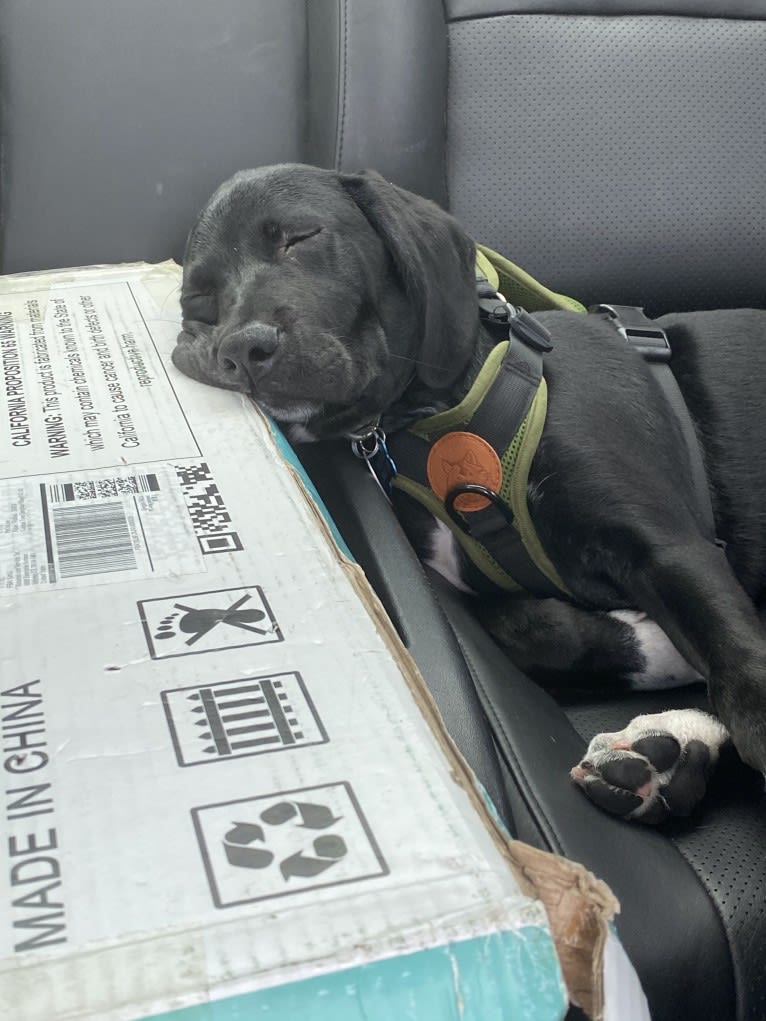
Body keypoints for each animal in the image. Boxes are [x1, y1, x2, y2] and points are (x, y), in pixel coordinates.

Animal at [173, 163, 766, 824]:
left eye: (300, 238)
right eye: (198, 302)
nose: (239, 351)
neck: (432, 418)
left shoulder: (669, 546)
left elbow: (742, 668)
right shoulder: (468, 585)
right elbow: (534, 631)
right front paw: (658, 653)